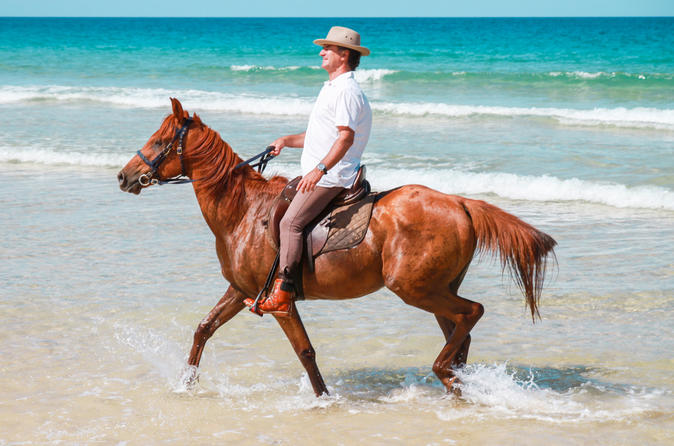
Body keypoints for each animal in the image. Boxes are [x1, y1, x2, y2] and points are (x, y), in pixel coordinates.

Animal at [117, 99, 556, 396]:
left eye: (158, 141)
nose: (124, 176)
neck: (243, 211)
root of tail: (460, 202)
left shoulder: (278, 301)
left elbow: (305, 351)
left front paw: (324, 399)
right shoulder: (241, 290)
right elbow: (204, 328)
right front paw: (185, 384)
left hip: (415, 289)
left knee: (471, 314)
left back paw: (446, 373)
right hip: (436, 289)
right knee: (460, 332)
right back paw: (456, 380)